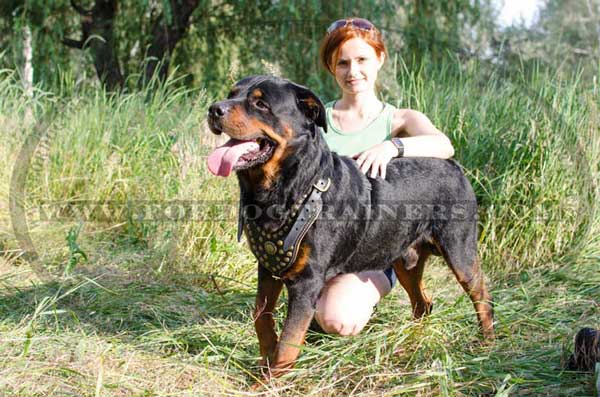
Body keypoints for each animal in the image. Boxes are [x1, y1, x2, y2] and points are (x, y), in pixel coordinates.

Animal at [205, 75, 492, 378]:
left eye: (260, 104)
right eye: (232, 94)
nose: (214, 109)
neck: (291, 186)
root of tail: (454, 165)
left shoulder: (307, 282)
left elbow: (289, 342)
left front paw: (271, 380)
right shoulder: (268, 267)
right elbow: (261, 316)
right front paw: (265, 358)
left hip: (460, 252)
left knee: (482, 297)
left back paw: (486, 342)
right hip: (405, 260)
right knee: (422, 302)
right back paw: (413, 340)